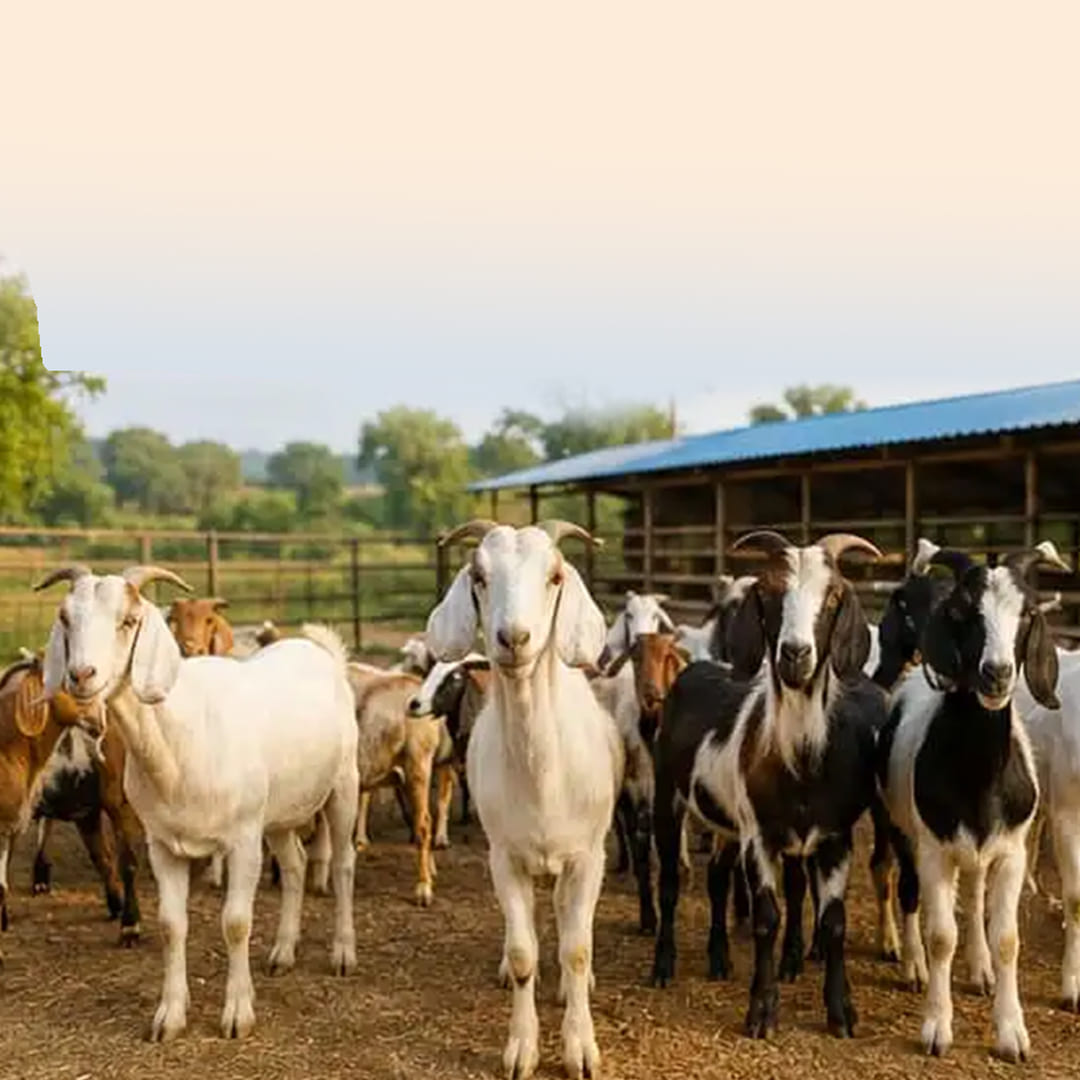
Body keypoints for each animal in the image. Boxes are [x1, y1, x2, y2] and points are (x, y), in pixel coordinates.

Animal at [35, 563, 359, 1042]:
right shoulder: (163, 844)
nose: (81, 675)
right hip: (279, 812)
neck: (180, 734)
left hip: (343, 784)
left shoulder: (242, 839)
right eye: (64, 617)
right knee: (295, 864)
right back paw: (283, 952)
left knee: (342, 863)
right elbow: (172, 925)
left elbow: (236, 922)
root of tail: (319, 650)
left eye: (129, 620)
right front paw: (169, 1016)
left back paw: (342, 953)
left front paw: (238, 1014)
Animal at [427, 519, 623, 1080]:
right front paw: (521, 1048)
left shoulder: (588, 857)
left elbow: (577, 949)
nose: (513, 638)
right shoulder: (505, 858)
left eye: (555, 576)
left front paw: (581, 1047)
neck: (542, 776)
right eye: (478, 576)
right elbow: (521, 953)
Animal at [651, 531, 885, 1041]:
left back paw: (719, 958)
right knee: (670, 881)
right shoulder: (759, 836)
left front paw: (841, 1012)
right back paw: (662, 966)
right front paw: (761, 1011)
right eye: (771, 593)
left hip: (724, 820)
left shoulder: (834, 838)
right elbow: (766, 917)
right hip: (667, 795)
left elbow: (833, 922)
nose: (795, 654)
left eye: (833, 595)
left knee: (718, 879)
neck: (801, 764)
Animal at [877, 542, 1067, 1061]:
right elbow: (942, 935)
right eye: (963, 611)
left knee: (976, 892)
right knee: (908, 891)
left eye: (1027, 613)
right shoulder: (933, 849)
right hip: (900, 828)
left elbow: (1007, 939)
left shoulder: (1012, 852)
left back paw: (980, 970)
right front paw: (936, 1028)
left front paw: (1012, 1033)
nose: (996, 674)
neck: (980, 779)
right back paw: (913, 966)